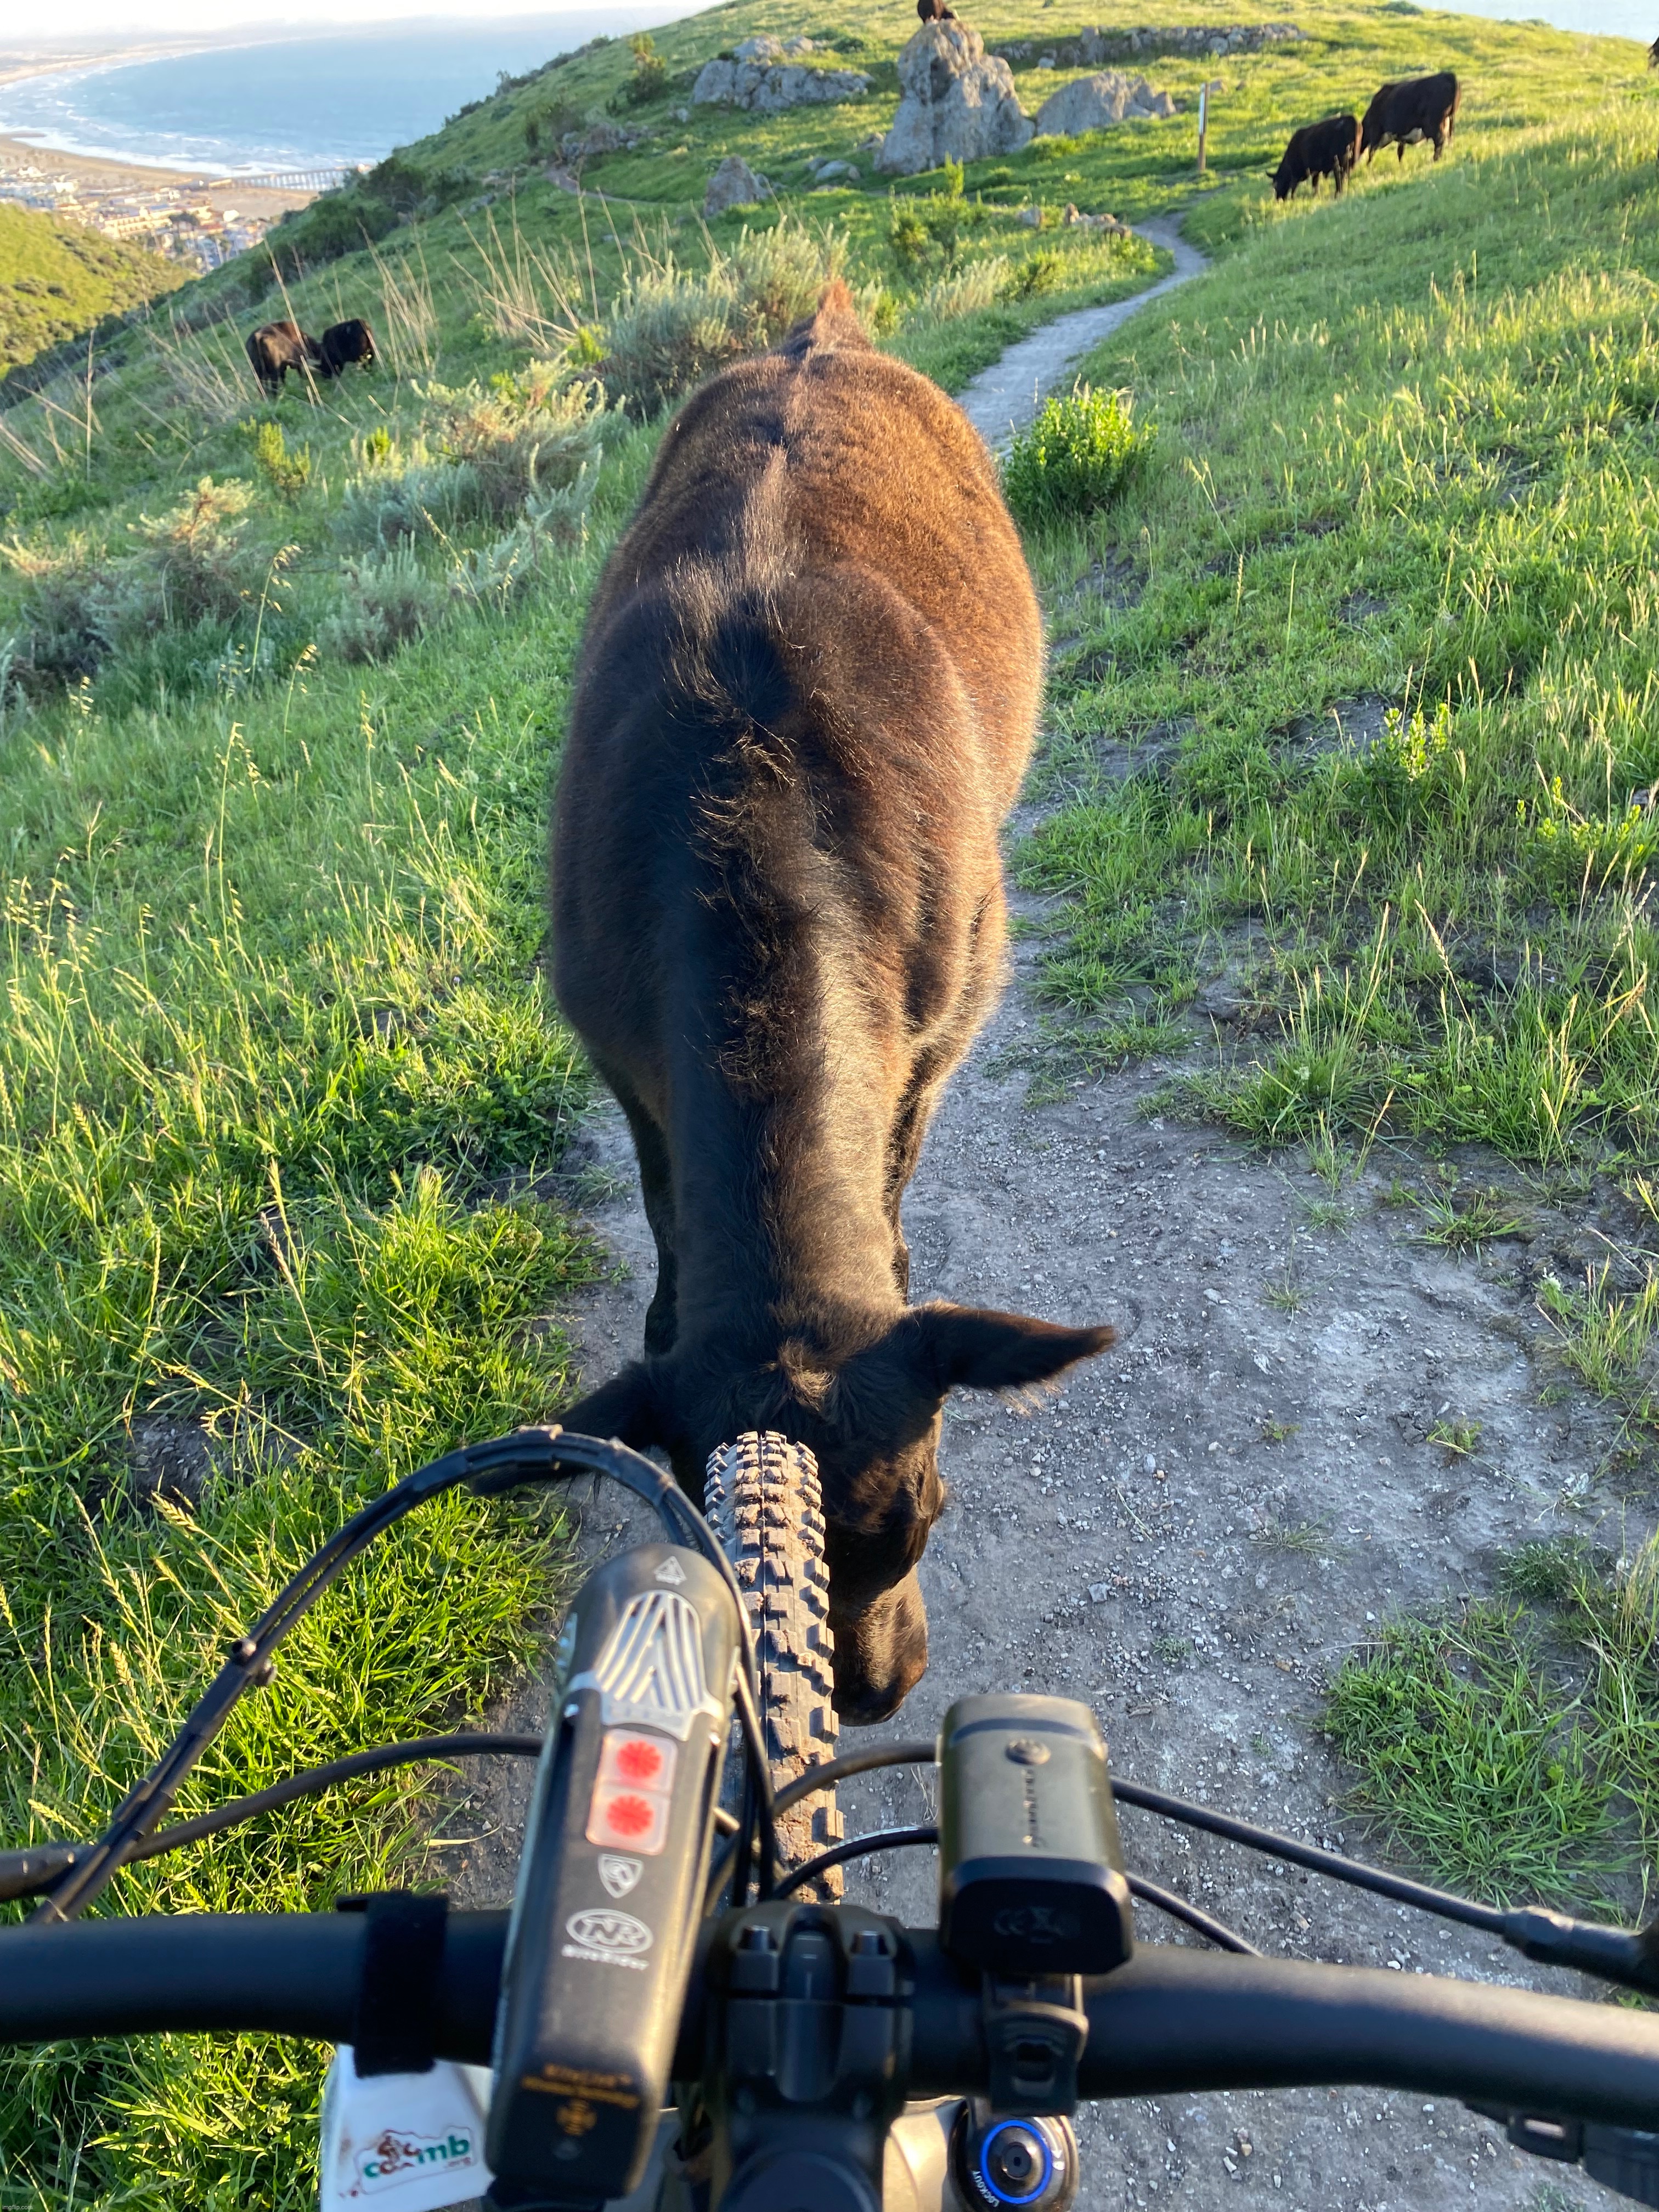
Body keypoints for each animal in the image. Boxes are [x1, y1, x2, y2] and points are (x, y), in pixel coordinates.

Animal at [245, 318, 322, 397]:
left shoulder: (283, 367)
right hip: (274, 372)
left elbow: (283, 377)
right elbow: (299, 373)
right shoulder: (298, 362)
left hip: (258, 373)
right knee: (273, 385)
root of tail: (258, 337)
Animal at [553, 282, 1115, 1725]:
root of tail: (823, 330)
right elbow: (662, 1211)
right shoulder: (621, 1059)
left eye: (928, 1512)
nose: (875, 1694)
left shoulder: (938, 1034)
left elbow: (900, 1174)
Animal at [1270, 113, 1361, 199]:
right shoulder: (1315, 171)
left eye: (1276, 186)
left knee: (1340, 177)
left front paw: (1293, 199)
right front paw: (1316, 196)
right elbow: (1315, 185)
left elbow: (1294, 188)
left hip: (1339, 162)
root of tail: (1351, 118)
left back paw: (1338, 194)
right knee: (1345, 176)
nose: (1278, 199)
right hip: (1350, 160)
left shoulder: (1296, 174)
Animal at [1359, 71, 1460, 164]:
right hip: (1448, 121)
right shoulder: (1401, 138)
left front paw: (1369, 166)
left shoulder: (1376, 132)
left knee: (1440, 141)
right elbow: (1400, 152)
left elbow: (1371, 152)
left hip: (1433, 124)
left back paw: (1434, 161)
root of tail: (1448, 75)